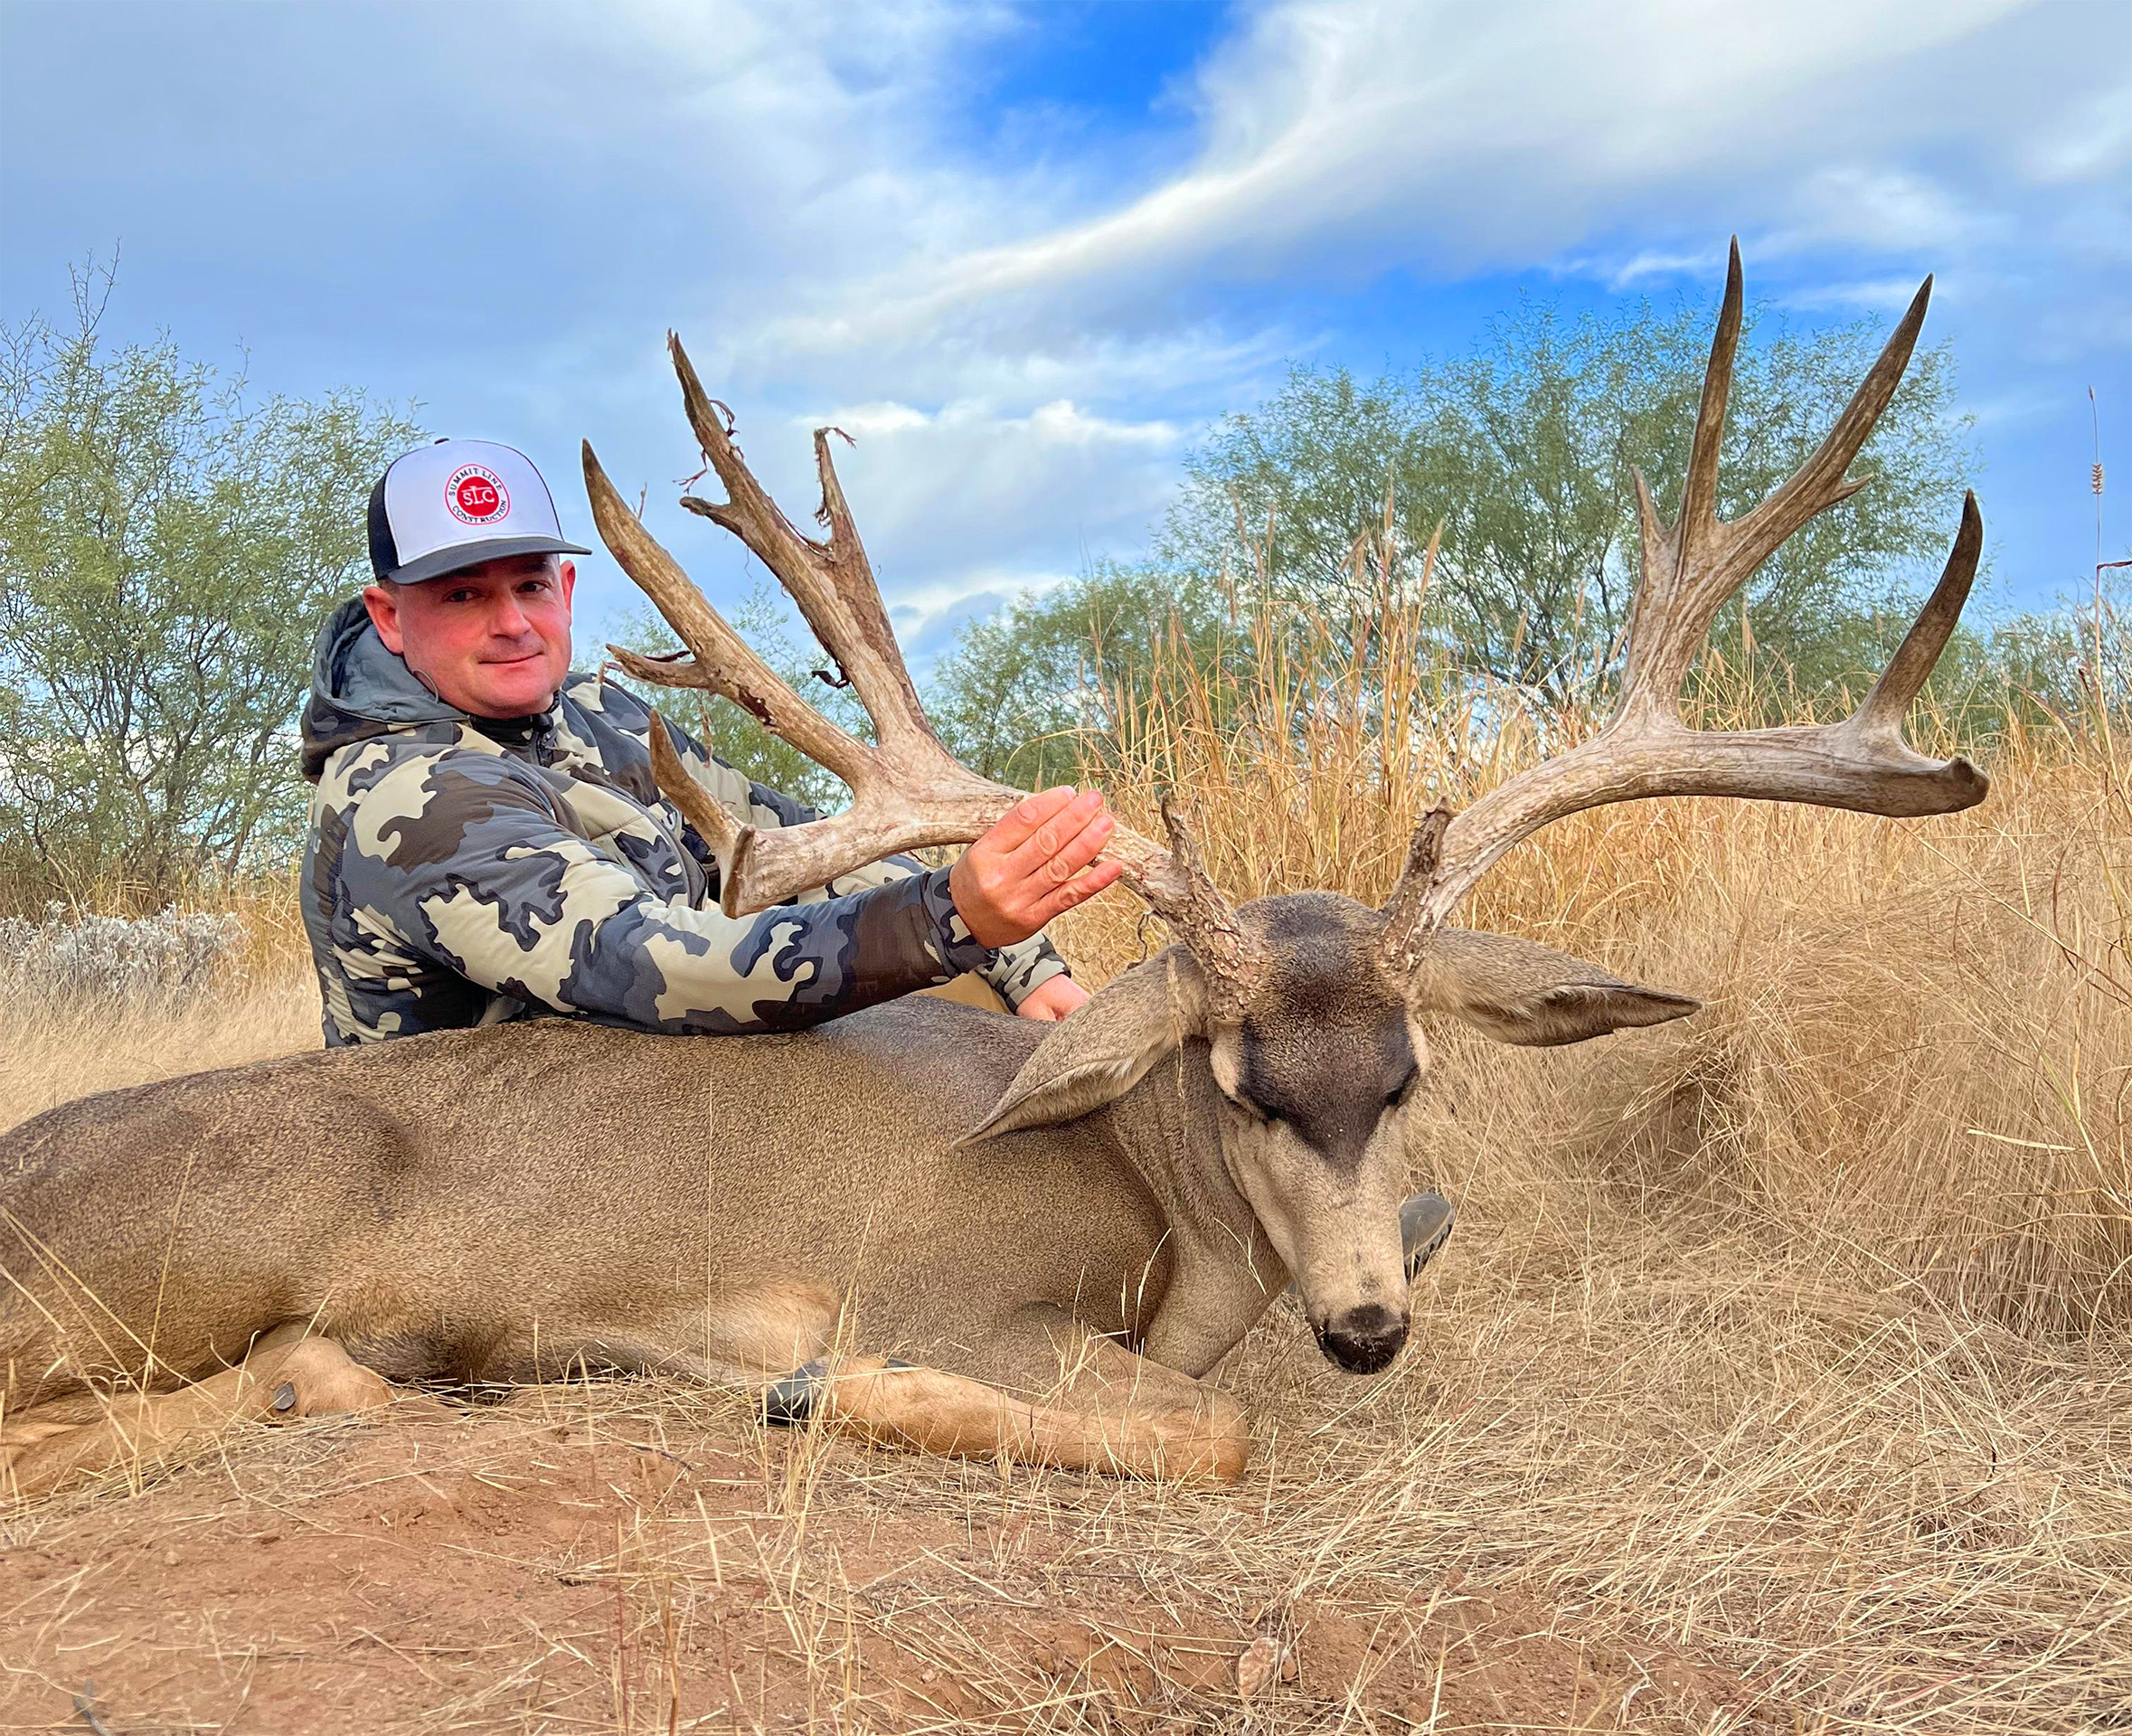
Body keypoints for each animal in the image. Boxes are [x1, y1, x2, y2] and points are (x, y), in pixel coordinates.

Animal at [0, 245, 1987, 1501]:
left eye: (1410, 1076)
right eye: (1240, 1083)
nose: (1365, 1329)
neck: (1156, 1204)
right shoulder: (945, 1284)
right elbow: (1210, 1430)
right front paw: (817, 1387)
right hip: (170, 1265)